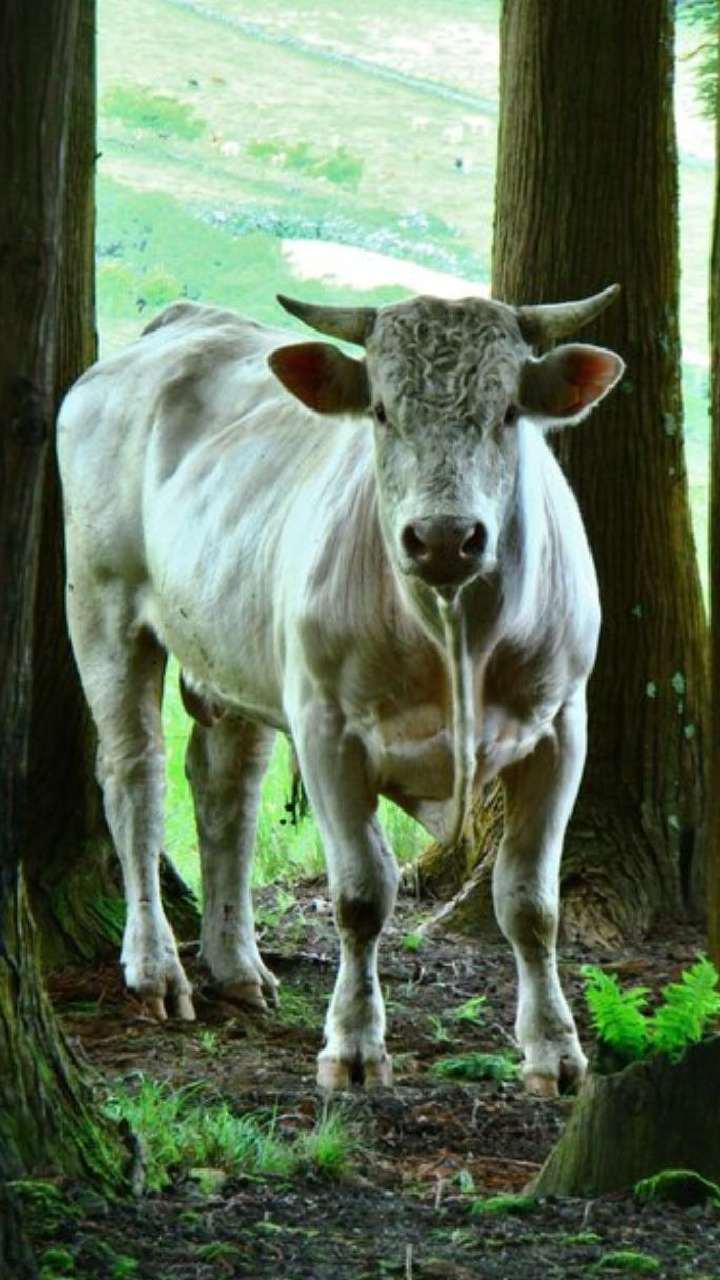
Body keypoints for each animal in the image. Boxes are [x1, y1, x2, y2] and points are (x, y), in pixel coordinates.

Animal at [56, 286, 624, 1095]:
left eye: (510, 409)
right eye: (381, 410)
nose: (444, 538)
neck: (452, 629)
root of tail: (182, 323)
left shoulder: (561, 727)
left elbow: (531, 902)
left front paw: (555, 1052)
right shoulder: (326, 726)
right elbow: (360, 894)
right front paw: (353, 1045)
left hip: (235, 650)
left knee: (225, 787)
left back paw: (237, 965)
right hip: (103, 606)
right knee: (137, 778)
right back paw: (156, 966)